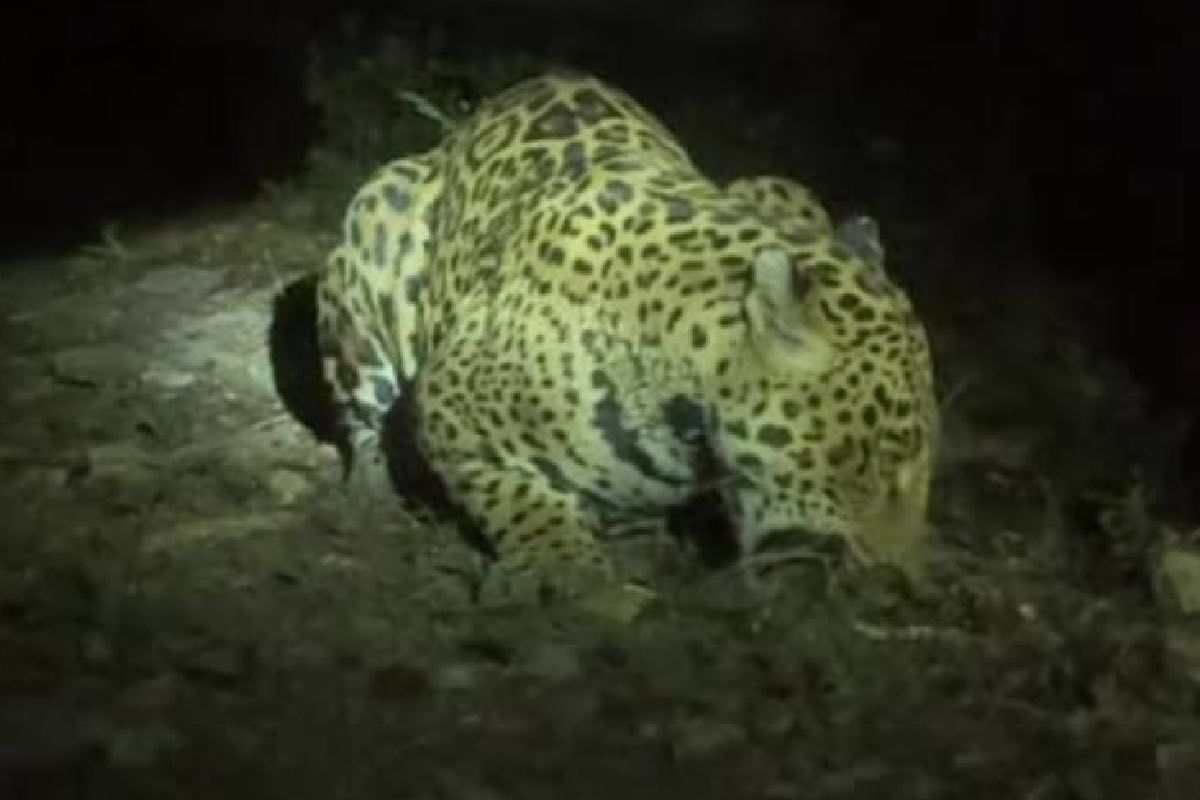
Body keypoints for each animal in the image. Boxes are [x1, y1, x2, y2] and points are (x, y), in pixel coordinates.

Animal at [276, 71, 938, 619]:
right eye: (877, 464)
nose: (900, 588)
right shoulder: (450, 406)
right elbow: (519, 496)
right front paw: (566, 569)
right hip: (372, 225)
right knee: (361, 413)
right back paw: (373, 492)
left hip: (778, 183)